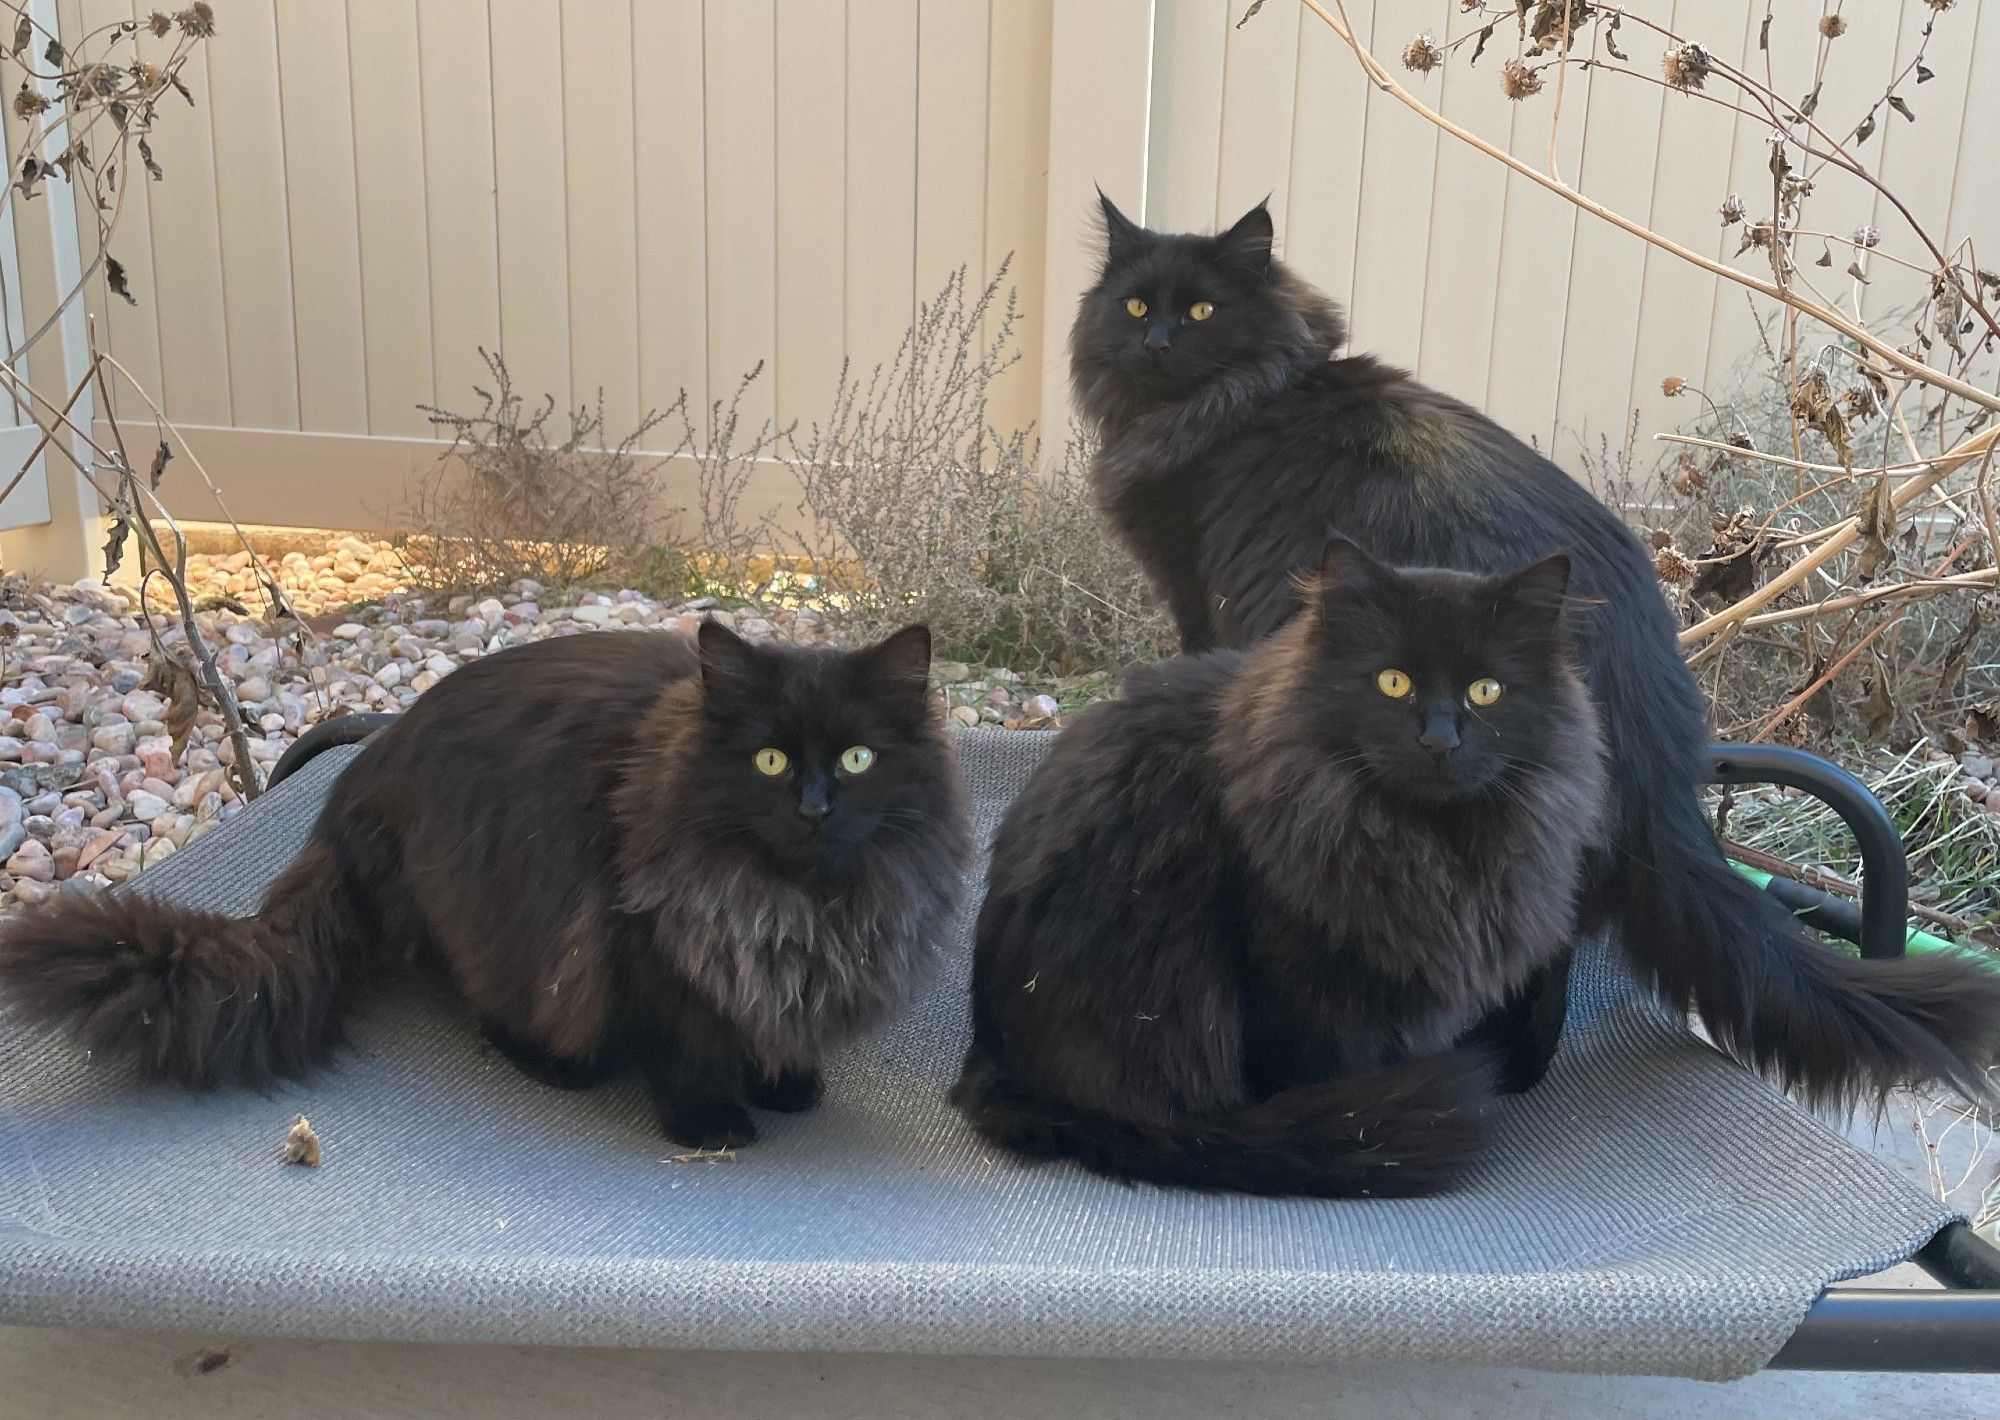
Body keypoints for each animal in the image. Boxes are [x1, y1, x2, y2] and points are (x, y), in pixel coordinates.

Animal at [0, 616, 968, 1152]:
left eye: (858, 758)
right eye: (770, 760)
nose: (814, 806)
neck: (802, 903)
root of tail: (358, 784)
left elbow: (776, 1026)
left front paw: (786, 1080)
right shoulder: (658, 953)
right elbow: (689, 1044)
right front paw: (711, 1120)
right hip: (506, 926)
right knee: (500, 1008)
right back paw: (557, 1063)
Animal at [956, 544, 1608, 1200]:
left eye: (1487, 690)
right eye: (1393, 682)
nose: (1439, 741)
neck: (1425, 848)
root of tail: (993, 1056)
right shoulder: (1298, 980)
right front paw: (1349, 1125)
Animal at [1072, 195, 2000, 1112]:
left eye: (1201, 311)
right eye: (1135, 306)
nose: (1156, 344)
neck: (1252, 395)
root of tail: (1663, 767)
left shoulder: (1196, 596)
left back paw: (1496, 1066)